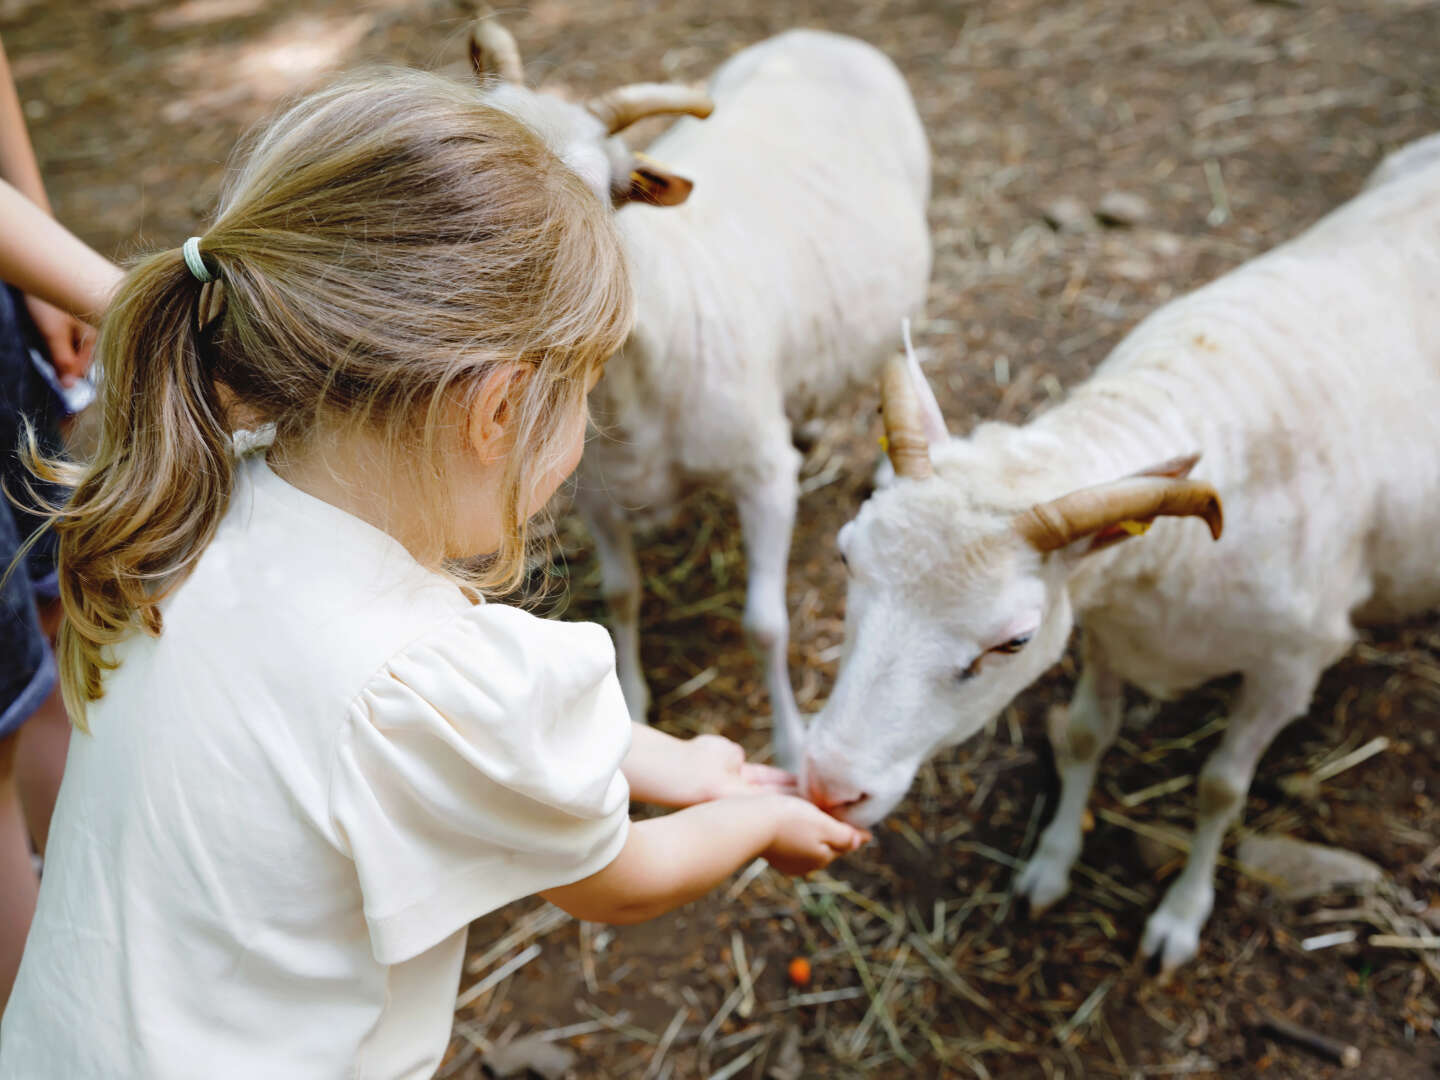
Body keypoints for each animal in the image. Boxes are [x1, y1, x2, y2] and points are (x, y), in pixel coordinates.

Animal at [800, 135, 1440, 973]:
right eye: (846, 557)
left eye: (1014, 641)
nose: (826, 785)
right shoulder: (1105, 627)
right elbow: (1082, 738)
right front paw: (1049, 865)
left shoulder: (1290, 667)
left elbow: (1220, 789)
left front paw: (1180, 917)